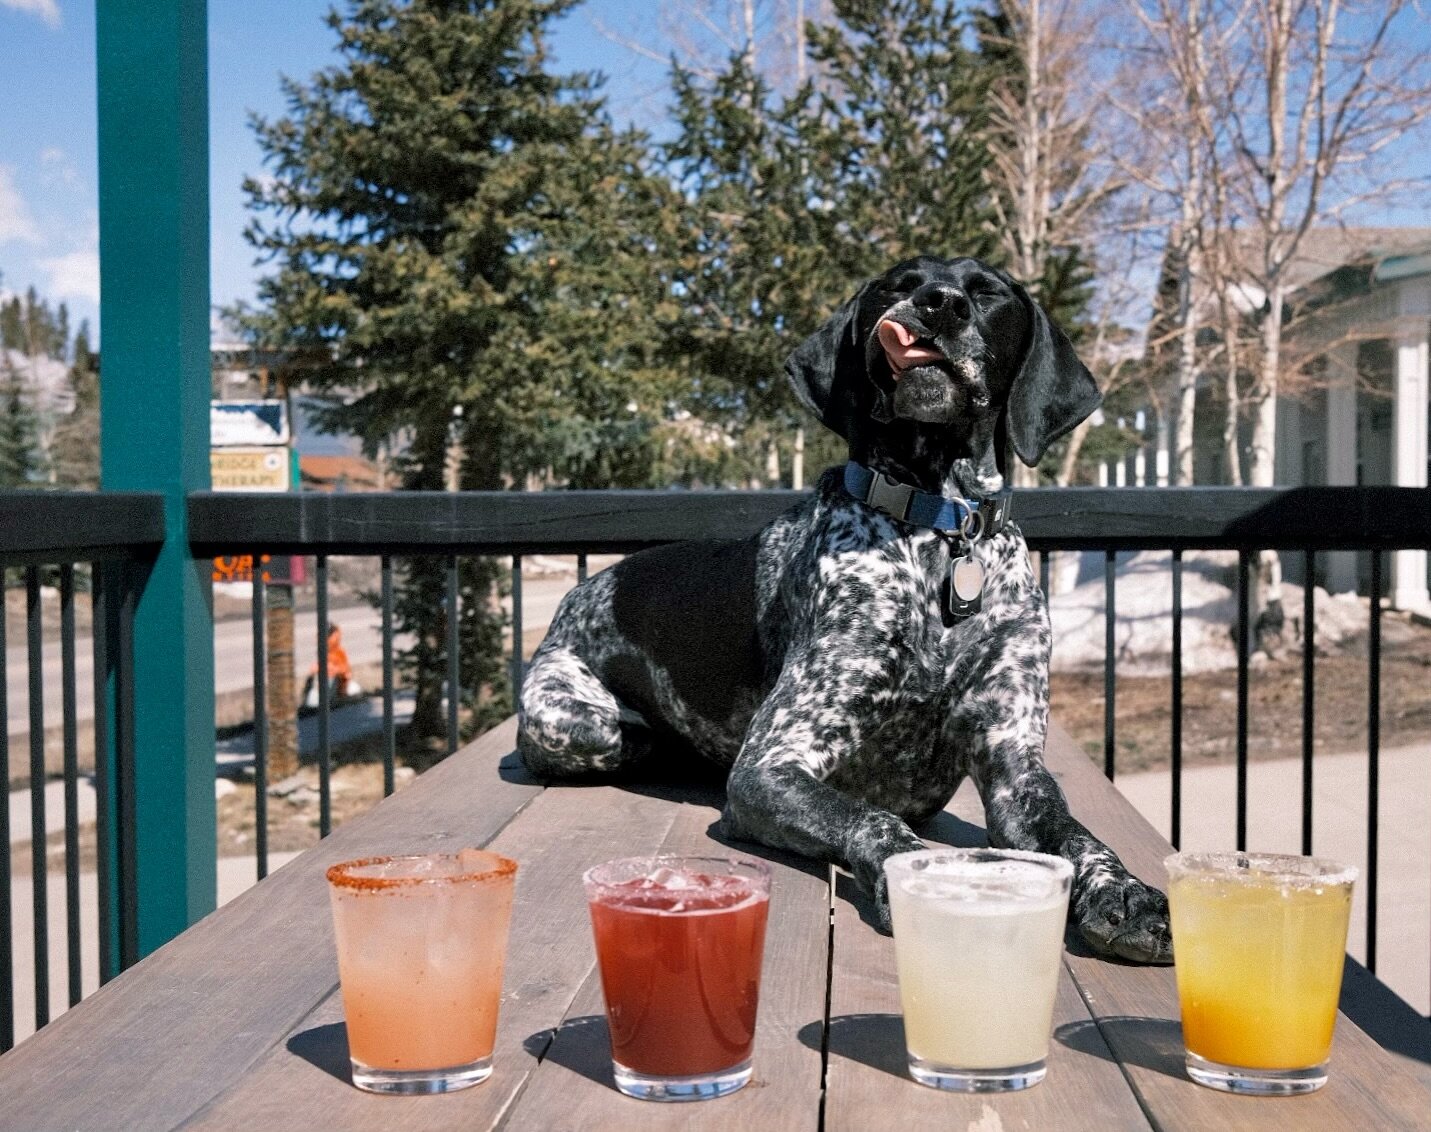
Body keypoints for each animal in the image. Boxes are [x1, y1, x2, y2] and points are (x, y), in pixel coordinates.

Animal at [520, 256, 1167, 967]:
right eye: (896, 284)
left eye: (988, 292)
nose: (938, 304)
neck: (939, 531)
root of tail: (578, 595)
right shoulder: (770, 764)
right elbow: (876, 820)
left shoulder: (1013, 765)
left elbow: (1080, 839)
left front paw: (1127, 893)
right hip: (585, 726)